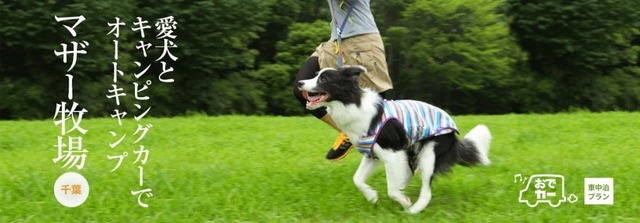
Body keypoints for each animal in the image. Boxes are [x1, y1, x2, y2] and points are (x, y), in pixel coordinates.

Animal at [298, 66, 492, 214]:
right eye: (316, 74)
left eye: (324, 78)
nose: (299, 83)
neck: (352, 104)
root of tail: (454, 134)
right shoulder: (372, 154)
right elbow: (357, 179)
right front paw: (372, 196)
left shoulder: (392, 153)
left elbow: (391, 189)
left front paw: (403, 201)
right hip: (411, 148)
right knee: (409, 172)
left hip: (430, 152)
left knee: (426, 189)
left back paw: (413, 210)